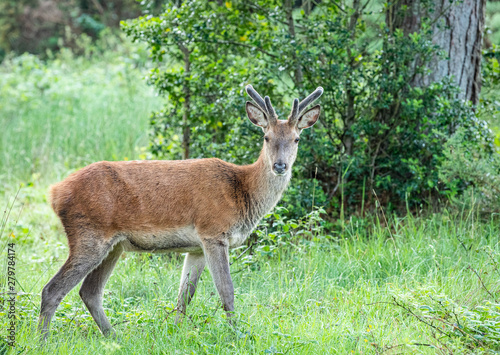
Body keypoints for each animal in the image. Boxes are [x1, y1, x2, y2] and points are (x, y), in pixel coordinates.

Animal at [38, 85, 320, 340]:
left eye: (296, 138)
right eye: (266, 137)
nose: (280, 165)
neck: (242, 192)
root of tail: (55, 193)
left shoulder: (196, 248)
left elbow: (184, 295)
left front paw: (176, 331)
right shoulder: (213, 232)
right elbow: (226, 290)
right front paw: (238, 335)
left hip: (113, 246)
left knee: (90, 292)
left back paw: (114, 336)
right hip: (89, 235)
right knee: (52, 289)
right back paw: (42, 339)